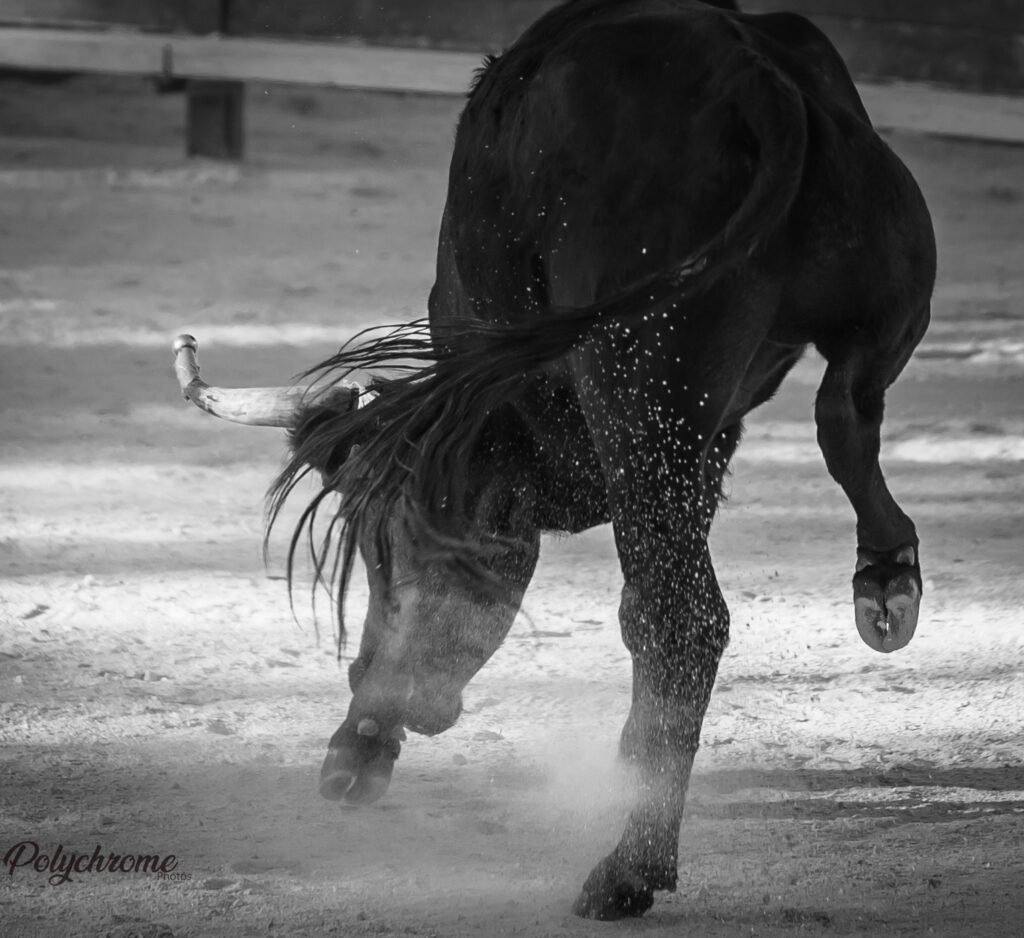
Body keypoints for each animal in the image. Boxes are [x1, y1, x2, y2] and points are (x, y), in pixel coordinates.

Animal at [173, 0, 935, 919]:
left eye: (384, 550)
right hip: (877, 302)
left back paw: (629, 867)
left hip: (637, 387)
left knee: (685, 620)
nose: (395, 708)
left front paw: (358, 744)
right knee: (843, 416)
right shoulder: (701, 448)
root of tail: (751, 76)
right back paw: (885, 579)